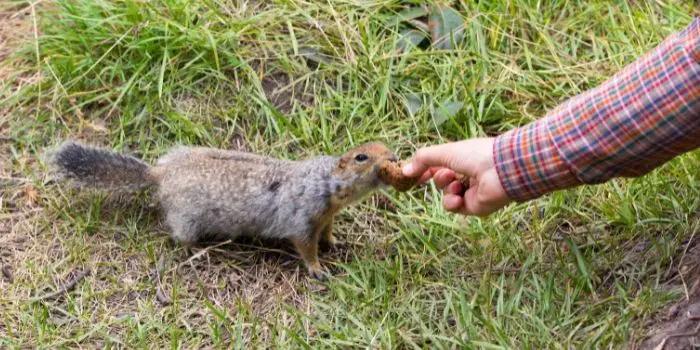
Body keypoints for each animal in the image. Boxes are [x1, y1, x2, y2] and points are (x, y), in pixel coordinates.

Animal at [47, 141, 404, 280]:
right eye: (361, 156)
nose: (395, 158)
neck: (328, 183)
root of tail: (160, 173)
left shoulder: (326, 217)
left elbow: (327, 234)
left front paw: (337, 243)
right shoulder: (302, 219)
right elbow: (305, 247)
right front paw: (318, 269)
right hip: (188, 219)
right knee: (179, 237)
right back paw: (198, 251)